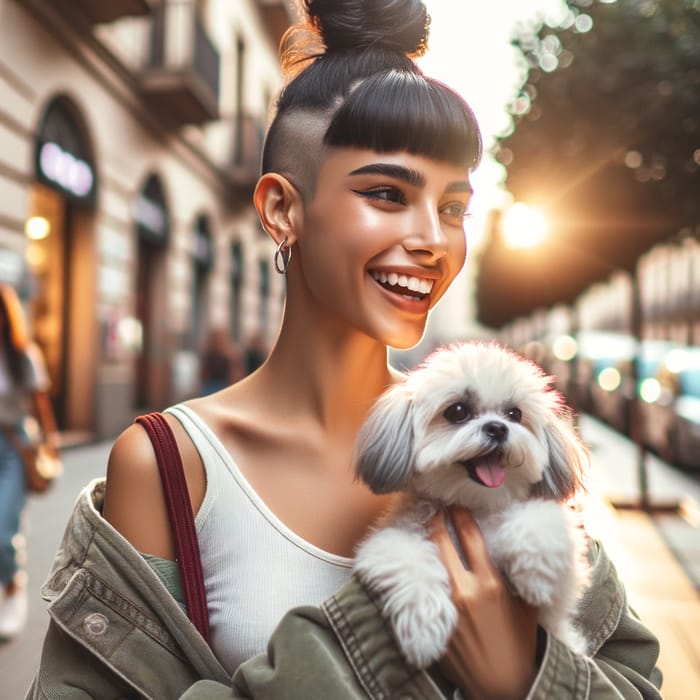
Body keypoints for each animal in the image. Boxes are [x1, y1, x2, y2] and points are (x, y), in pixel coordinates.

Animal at [356, 342, 592, 668]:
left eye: (514, 414)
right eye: (457, 411)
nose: (498, 428)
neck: (475, 505)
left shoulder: (561, 590)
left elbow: (542, 519)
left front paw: (537, 571)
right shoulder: (393, 538)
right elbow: (405, 557)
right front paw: (423, 625)